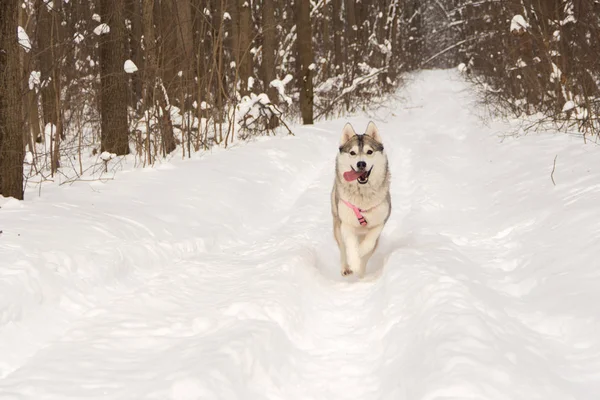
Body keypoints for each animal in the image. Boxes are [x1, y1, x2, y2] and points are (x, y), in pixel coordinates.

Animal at [330, 122, 392, 278]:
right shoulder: (346, 223)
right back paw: (346, 267)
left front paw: (360, 256)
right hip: (337, 223)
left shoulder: (380, 221)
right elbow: (350, 246)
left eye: (369, 151)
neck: (363, 198)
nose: (361, 164)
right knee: (343, 248)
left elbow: (368, 244)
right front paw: (354, 261)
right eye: (352, 153)